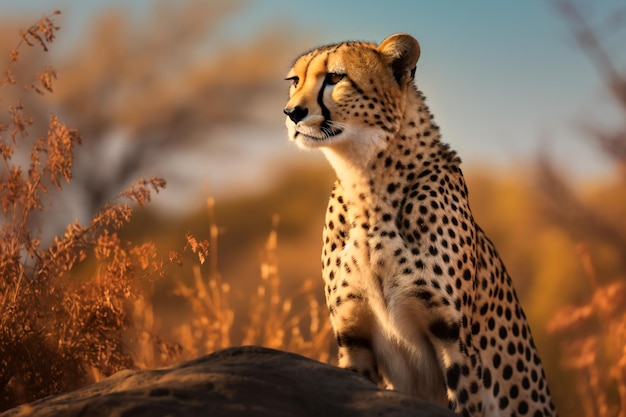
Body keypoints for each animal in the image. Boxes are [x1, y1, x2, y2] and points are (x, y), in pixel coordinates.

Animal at [282, 33, 556, 416]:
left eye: (335, 77)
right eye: (295, 81)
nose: (292, 112)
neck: (364, 182)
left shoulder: (454, 340)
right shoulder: (353, 339)